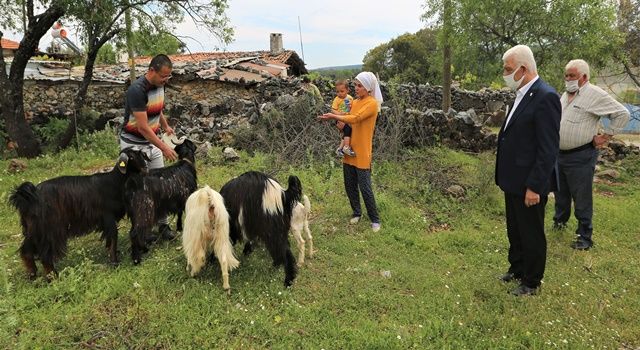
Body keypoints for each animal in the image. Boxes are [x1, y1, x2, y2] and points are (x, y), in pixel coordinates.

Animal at [9, 148, 149, 278]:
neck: (114, 181)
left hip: (34, 228)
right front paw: (114, 262)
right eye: (131, 157)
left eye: (141, 154)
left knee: (26, 250)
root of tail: (29, 197)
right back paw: (53, 277)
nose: (146, 168)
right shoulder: (108, 217)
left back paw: (32, 274)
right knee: (44, 254)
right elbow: (113, 238)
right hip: (49, 228)